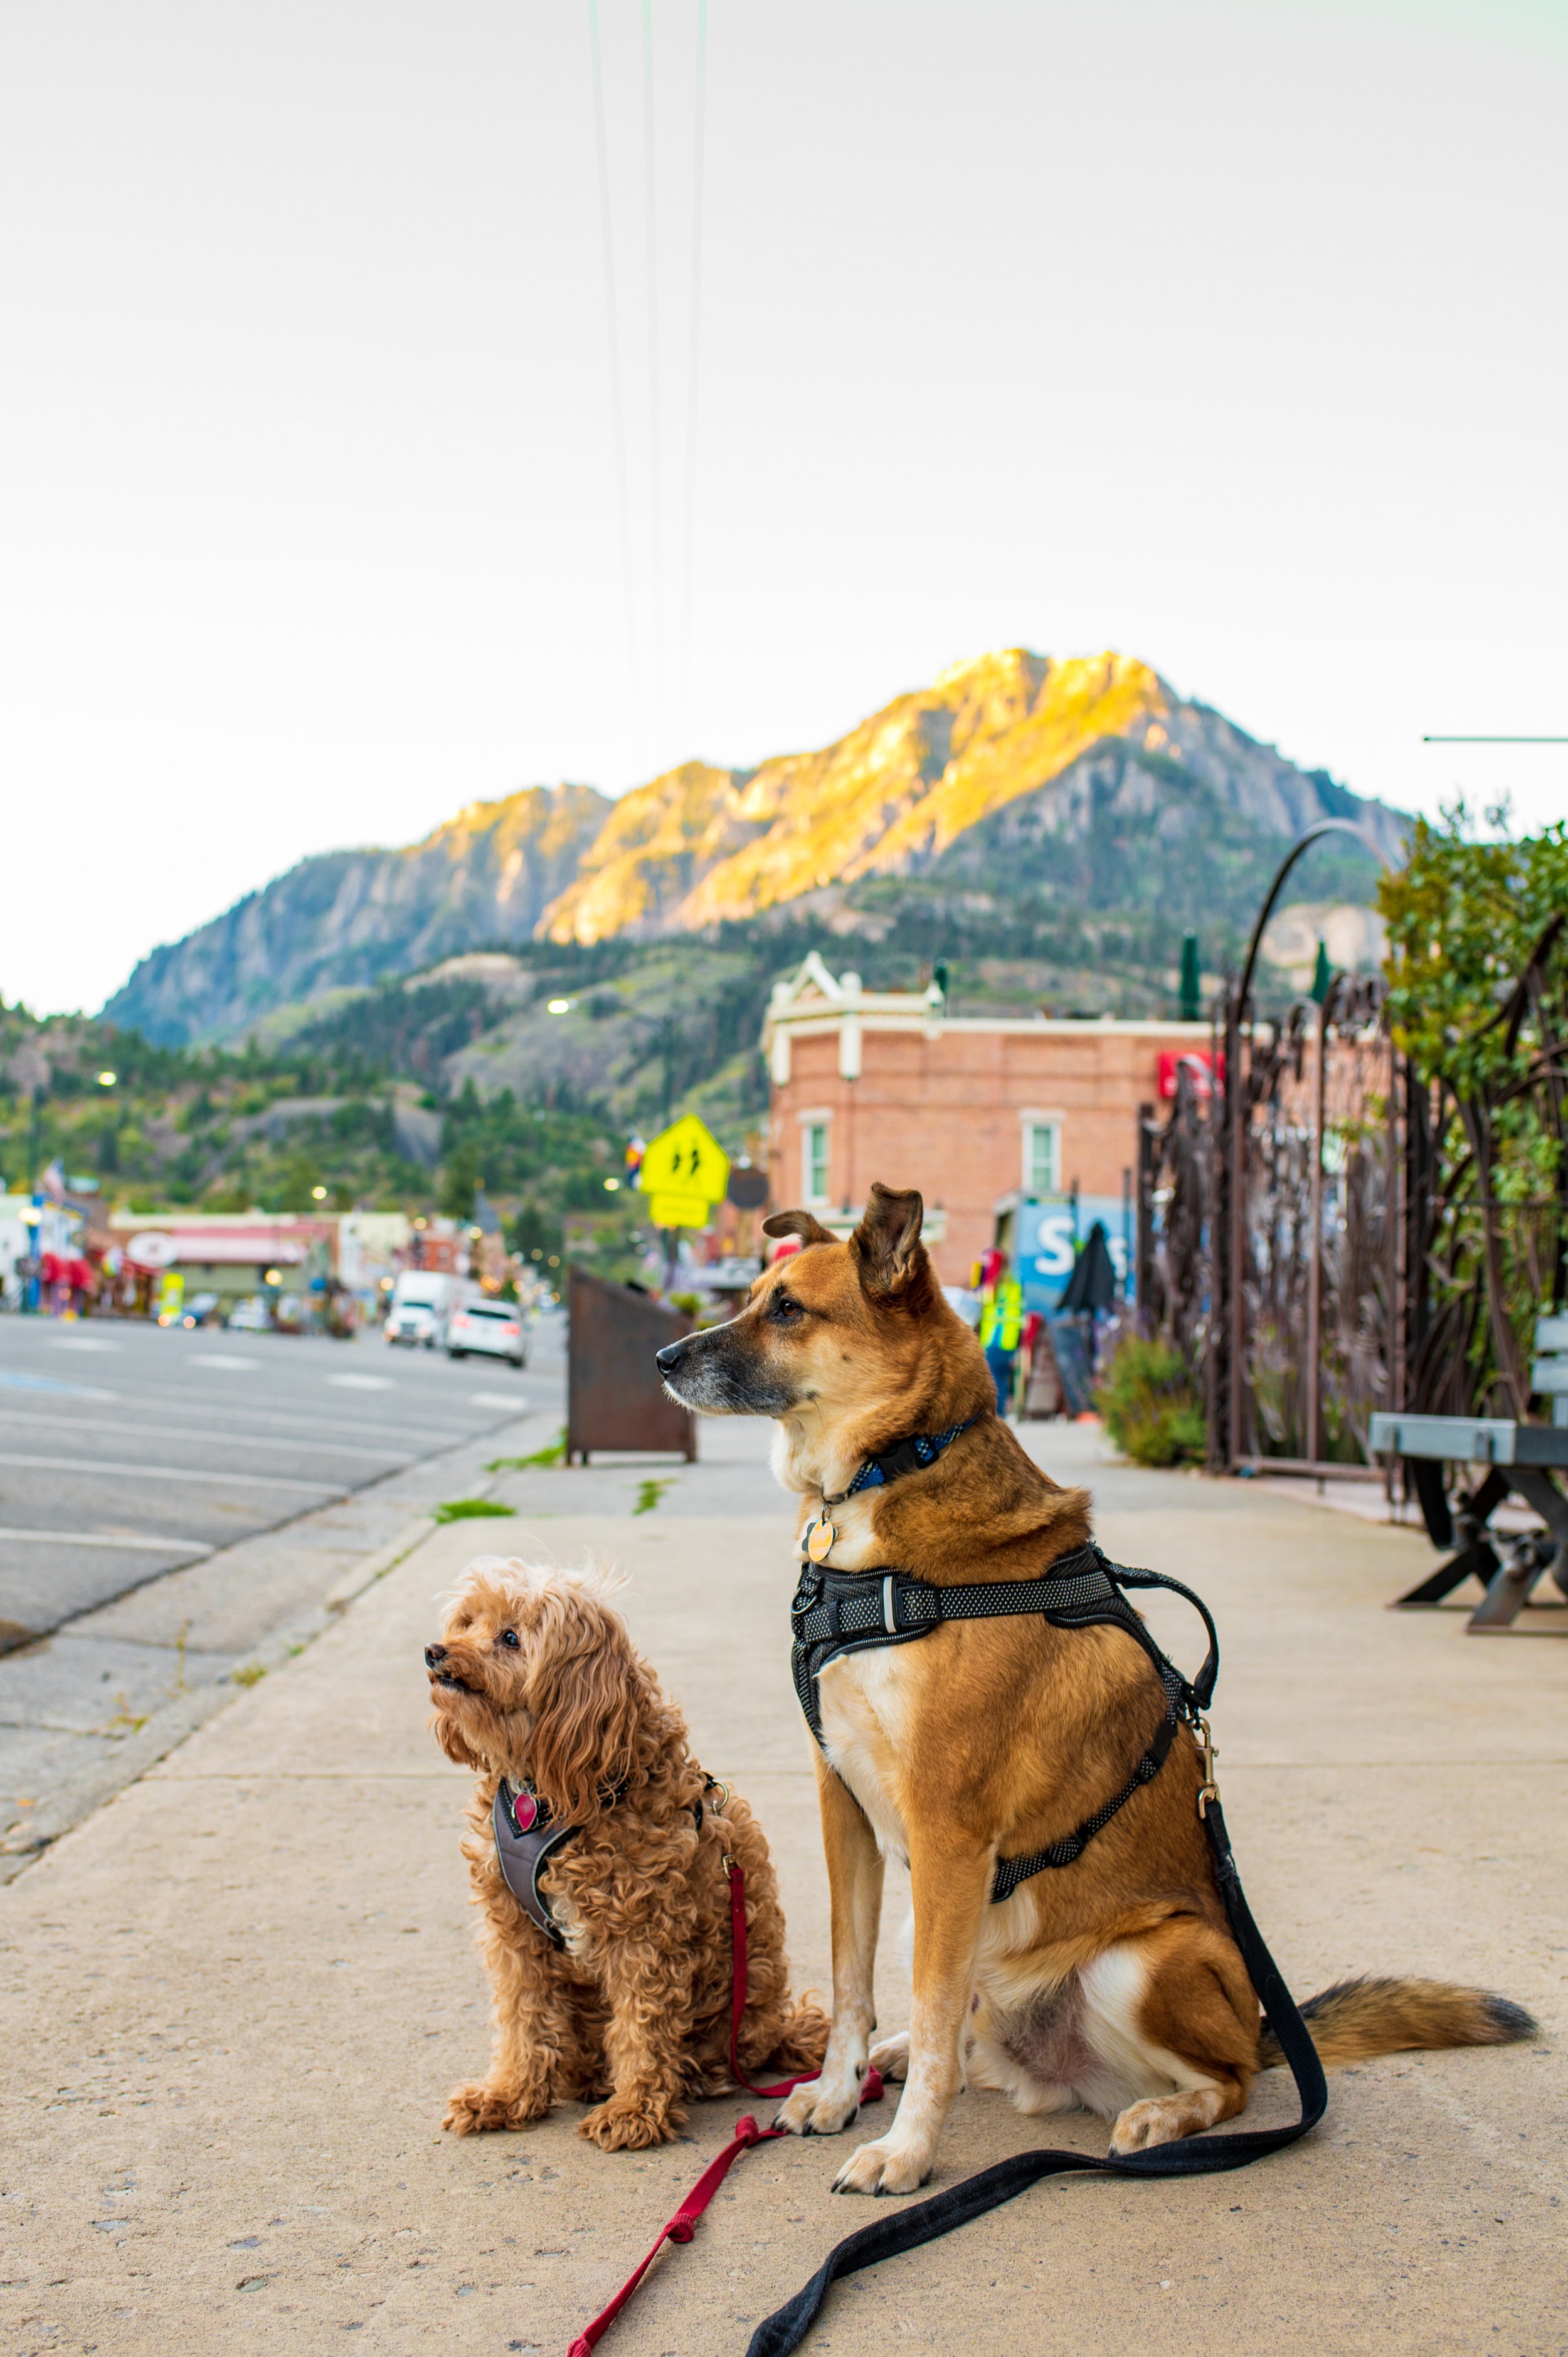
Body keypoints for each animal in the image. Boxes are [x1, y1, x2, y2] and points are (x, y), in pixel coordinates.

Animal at [421, 1555, 825, 2149]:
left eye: (512, 1638)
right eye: (467, 1622)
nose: (434, 1651)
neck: (544, 1787)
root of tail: (778, 2030)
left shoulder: (644, 1935)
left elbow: (642, 2025)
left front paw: (634, 2109)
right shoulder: (514, 1932)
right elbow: (522, 2016)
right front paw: (508, 2095)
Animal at [655, 1188, 1537, 2196]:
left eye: (790, 1309)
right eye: (753, 1296)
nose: (663, 1358)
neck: (898, 1466)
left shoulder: (949, 1832)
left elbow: (928, 2001)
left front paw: (905, 2151)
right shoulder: (844, 1803)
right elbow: (851, 1978)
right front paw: (840, 2092)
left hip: (1148, 1958)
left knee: (1227, 2080)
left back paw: (1162, 2115)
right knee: (967, 2027)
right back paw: (903, 2054)